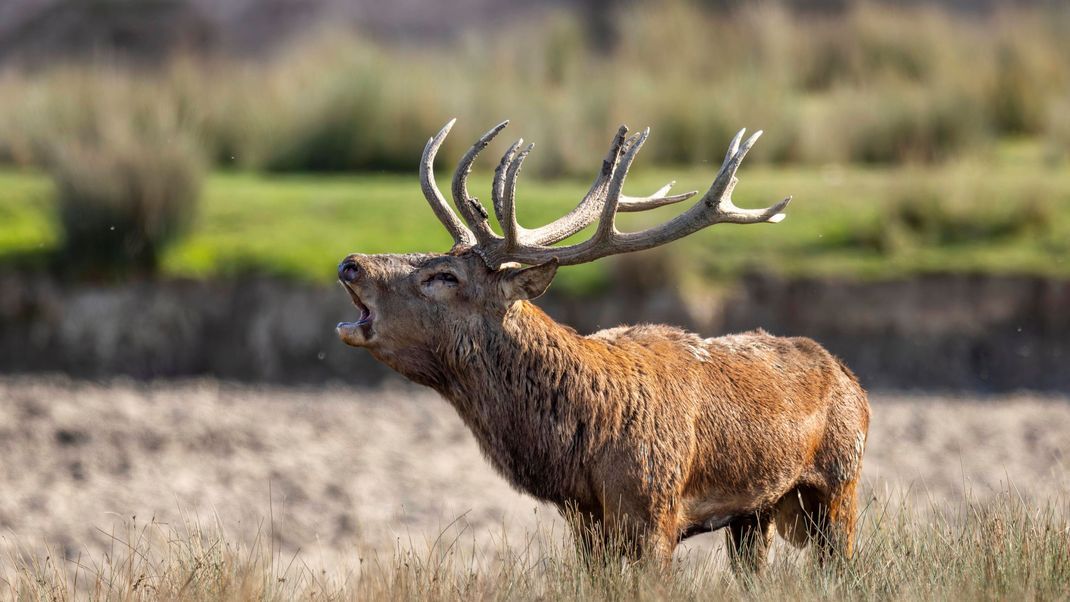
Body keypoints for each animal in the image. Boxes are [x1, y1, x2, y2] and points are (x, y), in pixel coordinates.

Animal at [333, 119, 868, 573]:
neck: (582, 447)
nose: (350, 263)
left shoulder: (656, 510)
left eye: (445, 275)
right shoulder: (587, 522)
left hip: (839, 485)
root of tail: (851, 378)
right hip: (757, 512)